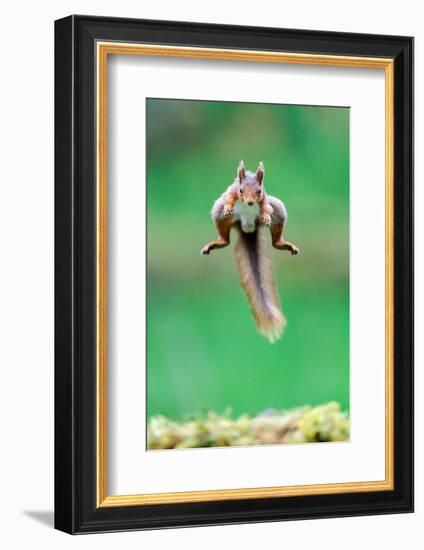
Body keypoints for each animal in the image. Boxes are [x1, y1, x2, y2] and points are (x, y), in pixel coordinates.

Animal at [201, 160, 298, 342]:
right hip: (218, 213)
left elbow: (265, 205)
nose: (251, 203)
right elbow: (229, 198)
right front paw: (229, 205)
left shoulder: (265, 197)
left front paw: (265, 214)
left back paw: (282, 243)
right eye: (241, 190)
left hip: (278, 210)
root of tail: (248, 227)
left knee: (275, 239)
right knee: (225, 238)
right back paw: (218, 241)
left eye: (259, 191)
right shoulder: (231, 191)